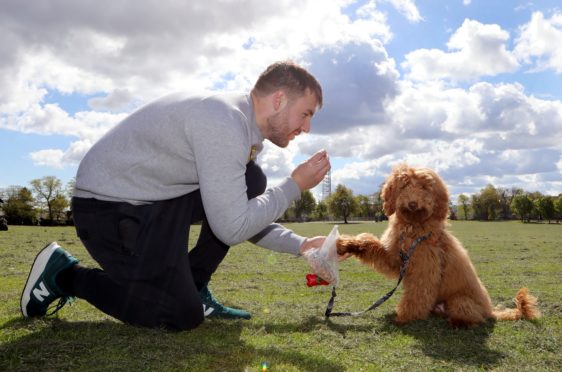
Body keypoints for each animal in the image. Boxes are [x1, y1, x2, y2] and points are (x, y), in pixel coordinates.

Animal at [334, 164, 536, 326]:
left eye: (424, 187)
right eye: (405, 185)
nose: (413, 203)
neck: (414, 228)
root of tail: (491, 312)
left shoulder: (424, 271)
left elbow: (417, 295)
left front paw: (405, 317)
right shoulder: (394, 258)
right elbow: (369, 243)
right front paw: (346, 244)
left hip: (460, 300)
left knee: (472, 317)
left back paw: (458, 323)